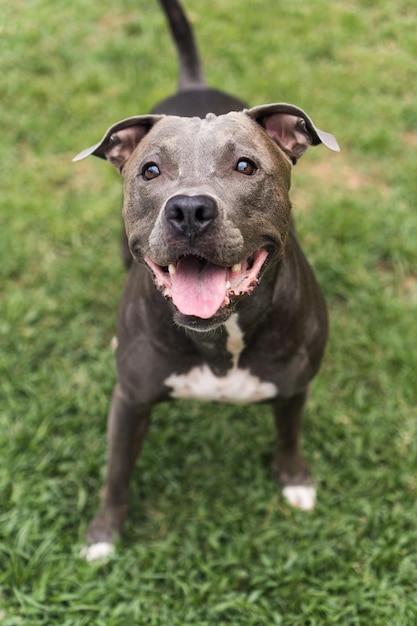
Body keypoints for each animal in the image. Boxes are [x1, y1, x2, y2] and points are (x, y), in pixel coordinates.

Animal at [74, 0, 338, 560]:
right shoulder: (130, 401)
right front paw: (103, 535)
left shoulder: (295, 388)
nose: (190, 209)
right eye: (150, 171)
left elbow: (289, 435)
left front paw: (295, 480)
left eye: (246, 166)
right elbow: (116, 474)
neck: (221, 336)